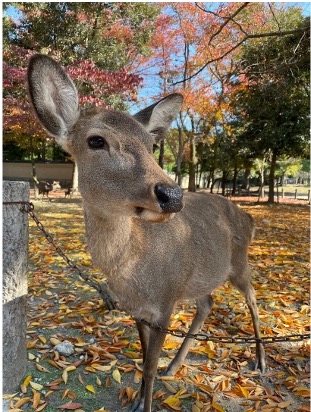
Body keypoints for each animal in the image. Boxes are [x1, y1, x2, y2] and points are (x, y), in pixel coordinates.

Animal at [27, 55, 266, 412]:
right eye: (96, 140)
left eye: (152, 144)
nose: (172, 195)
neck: (132, 275)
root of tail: (249, 217)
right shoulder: (139, 309)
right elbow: (142, 358)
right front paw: (139, 400)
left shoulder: (165, 301)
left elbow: (150, 363)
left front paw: (147, 402)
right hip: (200, 277)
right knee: (207, 303)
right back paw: (175, 365)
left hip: (240, 264)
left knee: (252, 299)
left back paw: (261, 362)